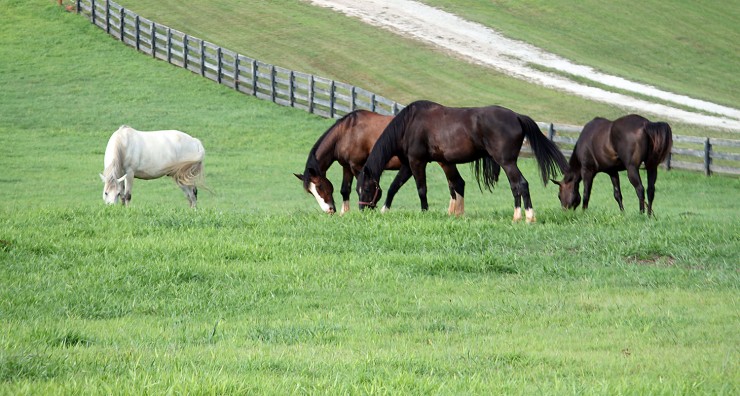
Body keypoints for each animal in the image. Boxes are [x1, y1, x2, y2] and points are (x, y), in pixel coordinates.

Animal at [296, 110, 456, 215]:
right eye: (311, 192)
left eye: (319, 187)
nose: (329, 210)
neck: (347, 133)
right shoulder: (346, 166)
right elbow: (344, 190)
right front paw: (345, 213)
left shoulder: (357, 166)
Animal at [356, 100, 568, 223]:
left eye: (366, 188)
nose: (362, 209)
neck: (409, 124)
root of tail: (516, 116)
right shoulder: (408, 165)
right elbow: (394, 187)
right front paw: (385, 209)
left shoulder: (417, 162)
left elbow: (421, 189)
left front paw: (425, 212)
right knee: (515, 186)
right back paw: (517, 216)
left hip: (507, 162)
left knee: (521, 184)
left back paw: (528, 217)